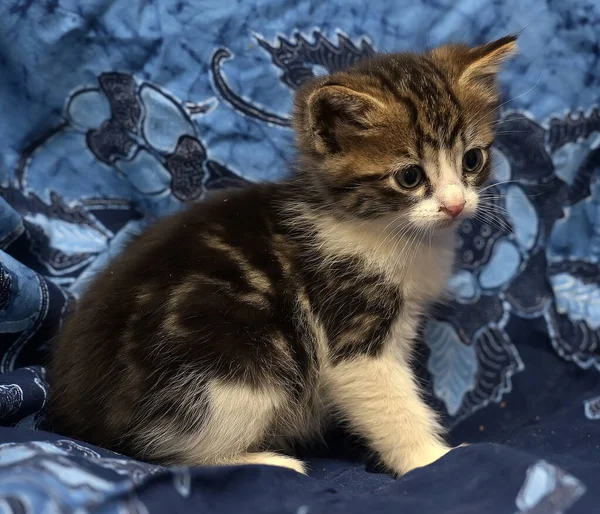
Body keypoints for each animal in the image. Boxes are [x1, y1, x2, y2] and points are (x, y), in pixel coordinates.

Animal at [48, 36, 516, 474]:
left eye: (472, 159)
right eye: (409, 177)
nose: (456, 205)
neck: (379, 226)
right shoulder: (349, 322)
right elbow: (386, 400)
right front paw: (433, 459)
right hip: (235, 366)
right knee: (164, 452)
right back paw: (263, 461)